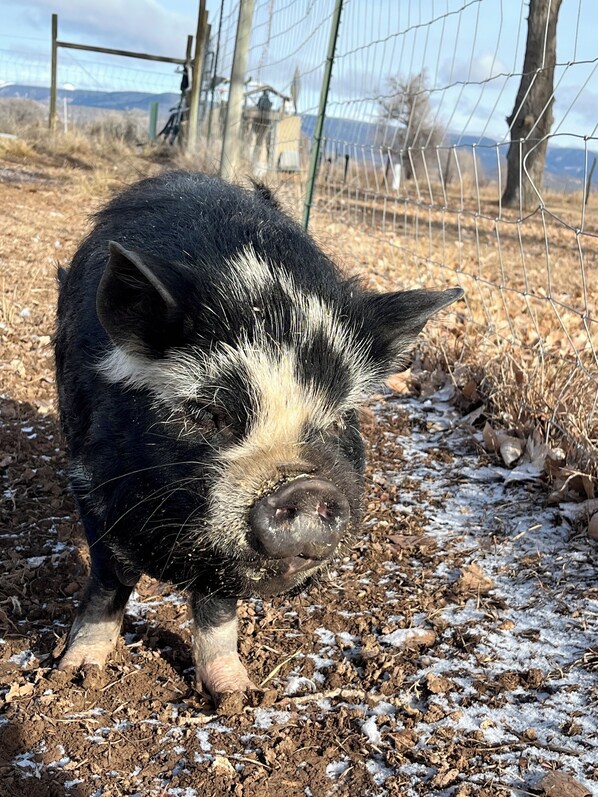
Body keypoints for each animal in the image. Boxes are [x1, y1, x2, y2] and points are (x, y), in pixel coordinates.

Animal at [54, 171, 462, 703]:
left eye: (341, 418)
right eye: (210, 413)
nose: (307, 488)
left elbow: (217, 605)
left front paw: (236, 696)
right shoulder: (88, 480)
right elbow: (108, 579)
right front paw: (75, 675)